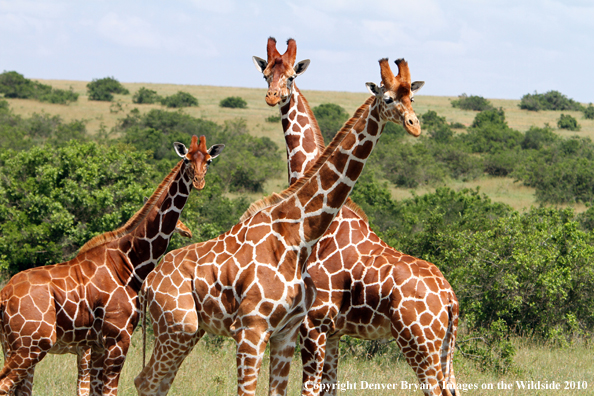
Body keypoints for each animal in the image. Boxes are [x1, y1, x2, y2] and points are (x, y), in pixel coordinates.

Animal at [0, 136, 224, 396]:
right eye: (187, 159)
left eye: (208, 160)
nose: (198, 181)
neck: (130, 263)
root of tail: (4, 296)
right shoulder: (118, 338)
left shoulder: (97, 345)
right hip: (32, 343)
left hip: (13, 344)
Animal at [134, 55, 424, 396]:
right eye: (388, 98)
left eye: (412, 97)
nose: (414, 125)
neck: (299, 238)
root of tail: (148, 283)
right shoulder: (252, 329)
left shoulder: (287, 332)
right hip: (177, 327)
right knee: (147, 381)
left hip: (188, 331)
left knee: (154, 382)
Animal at [253, 38, 458, 396]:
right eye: (266, 75)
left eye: (292, 77)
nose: (273, 97)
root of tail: (450, 299)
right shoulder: (333, 333)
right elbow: (330, 388)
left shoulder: (313, 325)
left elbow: (309, 390)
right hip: (446, 347)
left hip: (419, 343)